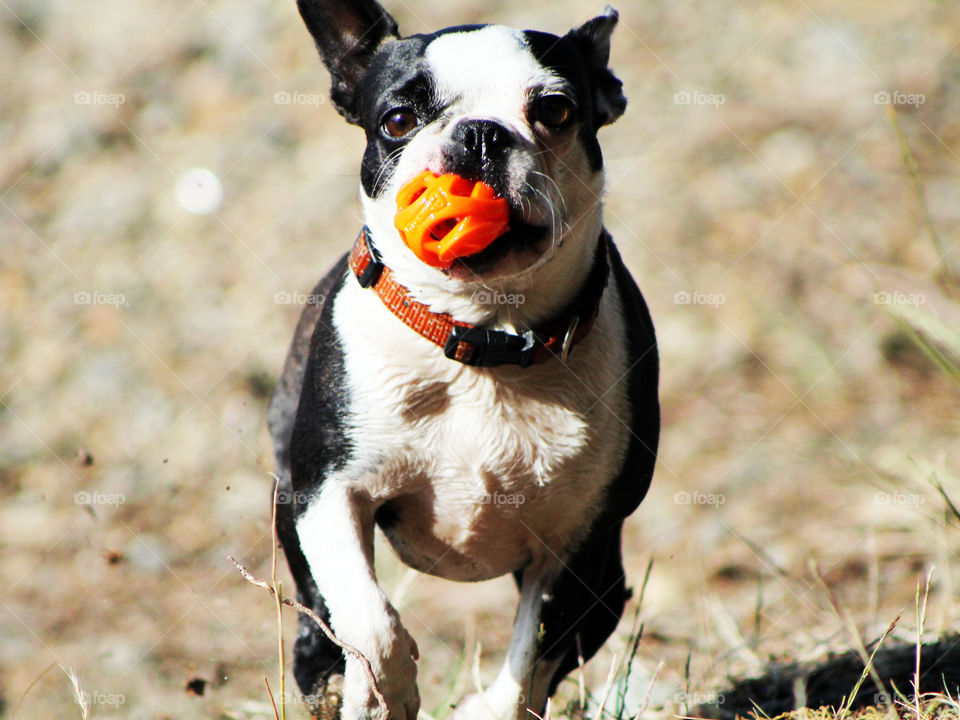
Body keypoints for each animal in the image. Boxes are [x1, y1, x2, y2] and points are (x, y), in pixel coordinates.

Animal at [270, 1, 660, 720]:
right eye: (398, 120)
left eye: (556, 110)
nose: (481, 133)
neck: (484, 342)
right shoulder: (327, 492)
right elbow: (370, 618)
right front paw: (383, 695)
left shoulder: (581, 539)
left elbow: (533, 653)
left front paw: (486, 706)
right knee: (320, 609)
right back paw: (326, 680)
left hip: (611, 582)